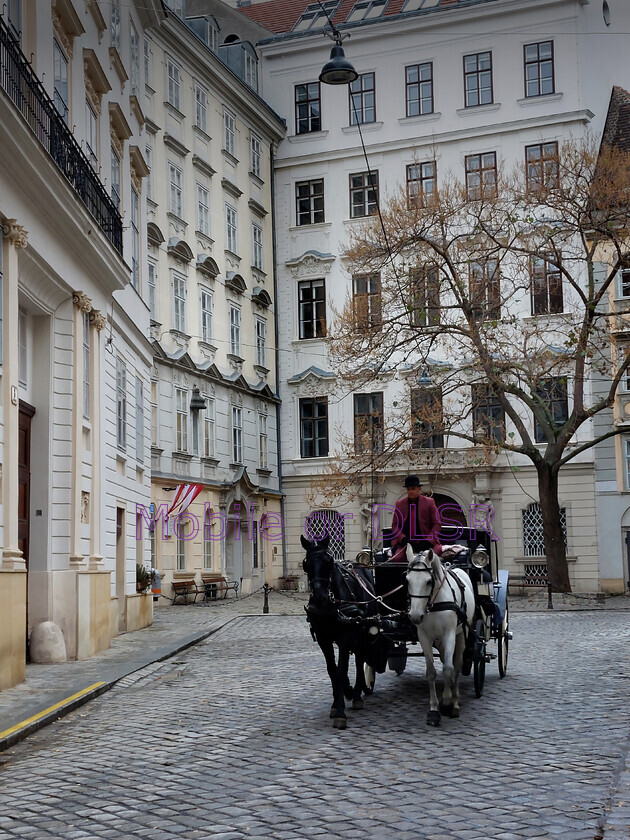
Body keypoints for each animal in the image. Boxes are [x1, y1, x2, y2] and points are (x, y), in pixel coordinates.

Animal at [300, 540, 386, 728]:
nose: (320, 597)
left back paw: (357, 696)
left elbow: (341, 670)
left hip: (362, 633)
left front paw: (340, 711)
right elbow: (333, 671)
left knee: (360, 660)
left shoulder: (345, 638)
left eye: (329, 561)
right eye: (306, 564)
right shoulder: (323, 639)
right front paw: (337, 702)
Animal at [408, 540, 476, 724]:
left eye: (428, 581)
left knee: (457, 664)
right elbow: (431, 672)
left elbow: (448, 667)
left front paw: (446, 702)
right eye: (407, 580)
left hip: (462, 634)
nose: (415, 616)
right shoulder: (424, 636)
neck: (433, 603)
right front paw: (433, 709)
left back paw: (456, 699)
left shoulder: (449, 634)